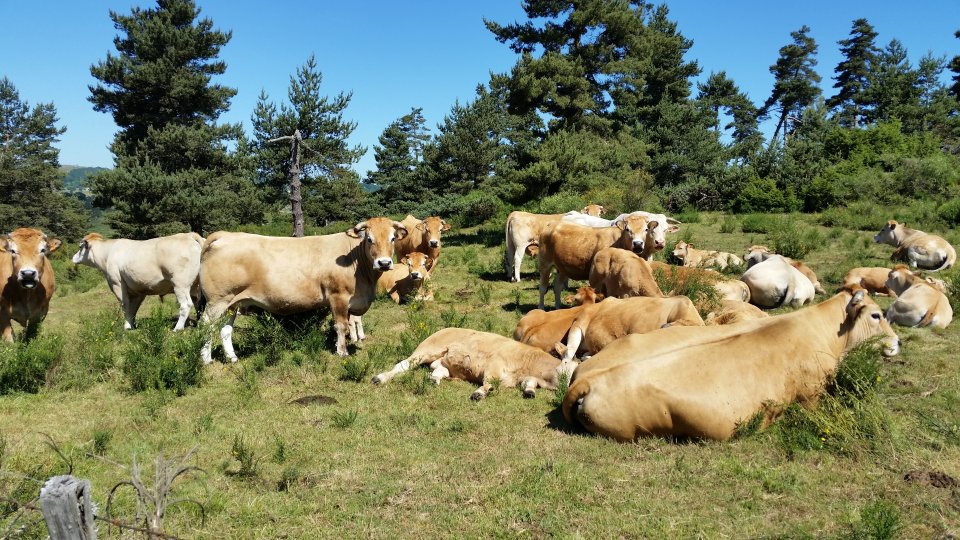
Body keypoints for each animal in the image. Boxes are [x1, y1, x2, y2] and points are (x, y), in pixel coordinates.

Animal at [71, 232, 204, 331]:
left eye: (80, 247)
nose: (73, 257)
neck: (108, 254)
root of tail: (189, 235)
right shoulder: (138, 290)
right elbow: (134, 308)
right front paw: (131, 324)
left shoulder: (117, 284)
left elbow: (125, 305)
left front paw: (127, 326)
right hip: (196, 286)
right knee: (199, 304)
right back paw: (200, 324)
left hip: (180, 284)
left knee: (186, 304)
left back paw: (178, 328)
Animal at [198, 217, 407, 362]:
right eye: (369, 239)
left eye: (393, 238)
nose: (384, 263)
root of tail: (225, 235)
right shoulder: (338, 296)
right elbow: (341, 326)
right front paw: (342, 352)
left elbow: (347, 325)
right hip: (217, 300)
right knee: (206, 325)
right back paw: (206, 359)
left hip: (232, 303)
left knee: (225, 329)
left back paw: (232, 358)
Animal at [371, 328, 578, 400]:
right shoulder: (494, 365)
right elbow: (488, 383)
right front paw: (479, 393)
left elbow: (528, 384)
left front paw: (529, 391)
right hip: (425, 350)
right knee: (402, 365)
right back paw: (379, 378)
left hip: (445, 363)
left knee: (437, 371)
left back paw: (433, 380)